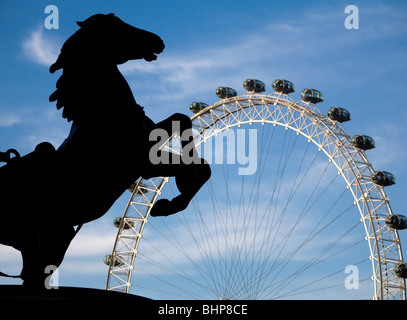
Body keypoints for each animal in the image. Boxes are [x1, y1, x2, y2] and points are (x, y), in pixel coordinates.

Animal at [0, 13, 210, 288]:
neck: (101, 113)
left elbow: (185, 125)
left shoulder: (148, 152)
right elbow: (193, 160)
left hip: (54, 234)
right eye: (118, 26)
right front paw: (171, 201)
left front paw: (178, 192)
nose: (158, 40)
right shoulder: (141, 161)